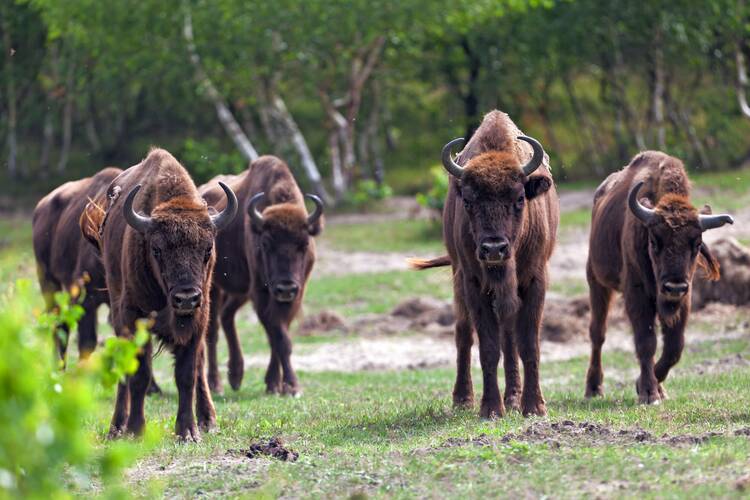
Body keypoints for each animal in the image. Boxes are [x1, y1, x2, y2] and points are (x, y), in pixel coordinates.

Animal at [96, 147, 238, 438]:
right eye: (157, 250)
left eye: (208, 249)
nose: (186, 298)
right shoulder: (133, 317)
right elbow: (139, 374)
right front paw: (136, 430)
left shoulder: (199, 319)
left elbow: (187, 374)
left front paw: (189, 431)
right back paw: (117, 426)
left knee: (200, 366)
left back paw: (208, 420)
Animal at [200, 154, 326, 396]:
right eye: (266, 243)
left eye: (304, 244)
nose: (286, 287)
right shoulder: (261, 292)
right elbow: (278, 336)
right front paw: (291, 386)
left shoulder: (295, 294)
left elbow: (278, 336)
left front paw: (276, 384)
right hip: (215, 287)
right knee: (213, 330)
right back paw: (216, 384)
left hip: (240, 291)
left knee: (227, 316)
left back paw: (236, 376)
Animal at [414, 111, 560, 420]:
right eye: (469, 201)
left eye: (519, 198)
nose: (494, 248)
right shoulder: (474, 283)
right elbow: (488, 347)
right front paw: (491, 409)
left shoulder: (535, 281)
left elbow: (528, 344)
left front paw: (534, 407)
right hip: (459, 279)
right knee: (463, 334)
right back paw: (463, 399)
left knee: (509, 336)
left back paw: (514, 398)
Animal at [588, 150, 736, 404]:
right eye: (654, 240)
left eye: (697, 244)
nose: (673, 287)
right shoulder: (637, 295)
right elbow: (646, 342)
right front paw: (648, 392)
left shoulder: (684, 299)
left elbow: (674, 347)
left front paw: (651, 387)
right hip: (596, 281)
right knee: (598, 333)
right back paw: (593, 388)